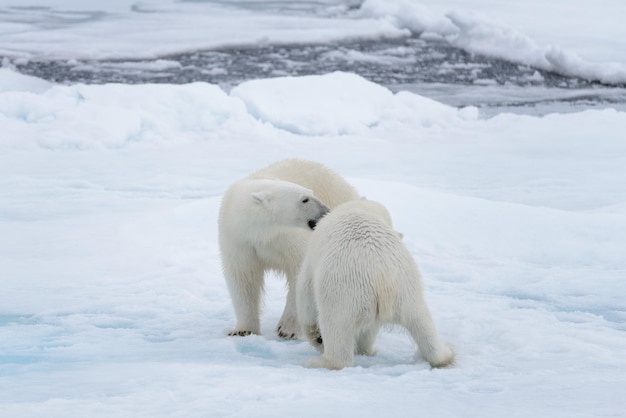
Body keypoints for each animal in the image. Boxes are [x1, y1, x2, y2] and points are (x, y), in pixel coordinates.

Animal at [218, 158, 356, 338]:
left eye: (312, 194)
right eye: (304, 199)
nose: (326, 210)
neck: (261, 231)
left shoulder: (287, 237)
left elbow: (299, 272)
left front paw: (287, 329)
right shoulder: (239, 240)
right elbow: (243, 277)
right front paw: (243, 330)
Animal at [294, 199, 450, 370]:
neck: (361, 208)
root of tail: (381, 275)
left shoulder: (313, 257)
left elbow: (306, 296)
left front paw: (316, 337)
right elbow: (369, 329)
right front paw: (364, 349)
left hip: (344, 289)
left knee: (336, 325)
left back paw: (321, 361)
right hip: (406, 289)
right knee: (421, 322)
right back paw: (444, 355)